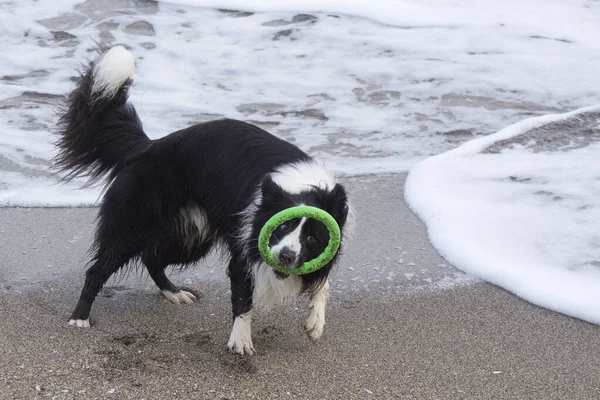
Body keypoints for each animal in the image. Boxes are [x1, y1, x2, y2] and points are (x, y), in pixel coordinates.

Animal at [54, 45, 354, 354]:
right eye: (282, 227)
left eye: (312, 238)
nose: (285, 256)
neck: (303, 185)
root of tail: (147, 146)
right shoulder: (244, 246)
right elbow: (243, 298)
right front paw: (241, 341)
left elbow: (322, 282)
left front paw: (315, 322)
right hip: (133, 225)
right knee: (100, 268)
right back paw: (79, 318)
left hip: (193, 236)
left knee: (152, 258)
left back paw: (174, 292)